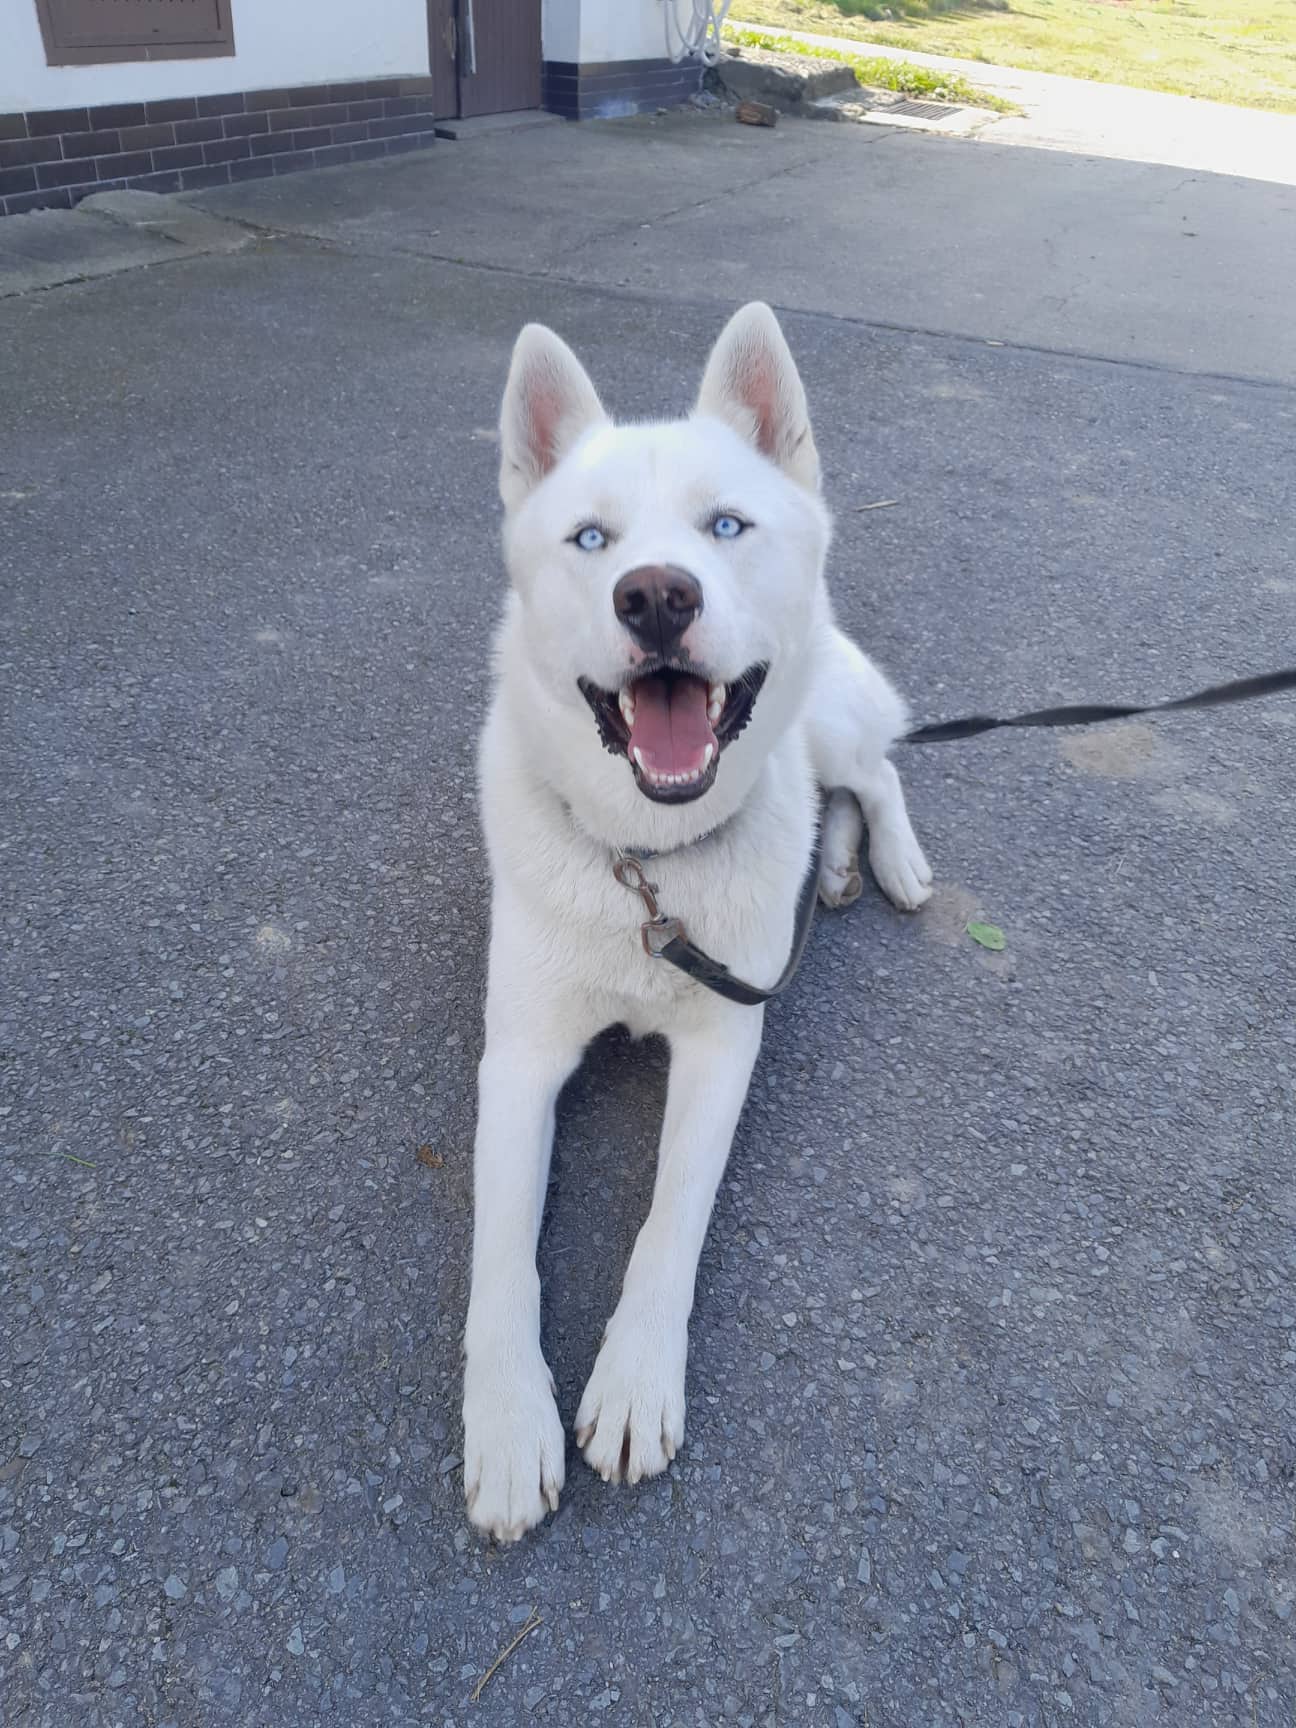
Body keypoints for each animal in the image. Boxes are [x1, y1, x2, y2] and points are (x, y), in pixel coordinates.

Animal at [462, 302, 933, 1540]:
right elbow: (500, 1254)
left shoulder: (724, 1044)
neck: (648, 865)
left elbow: (669, 1221)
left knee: (875, 771)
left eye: (726, 526)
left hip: (830, 721)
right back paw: (834, 867)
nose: (658, 595)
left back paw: (891, 859)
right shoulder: (518, 1061)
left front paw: (632, 1381)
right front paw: (508, 1422)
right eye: (590, 540)